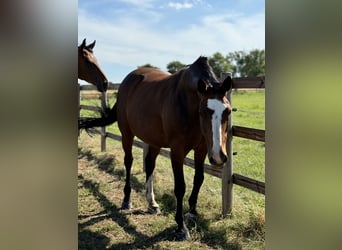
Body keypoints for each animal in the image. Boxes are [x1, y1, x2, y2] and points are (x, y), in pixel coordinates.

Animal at [78, 56, 232, 240]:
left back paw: (152, 203)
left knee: (150, 164)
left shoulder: (201, 149)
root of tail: (127, 81)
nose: (219, 157)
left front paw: (193, 213)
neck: (186, 101)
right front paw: (181, 227)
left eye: (228, 111)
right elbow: (180, 186)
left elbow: (199, 179)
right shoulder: (177, 151)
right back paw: (126, 200)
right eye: (203, 111)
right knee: (128, 161)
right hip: (127, 134)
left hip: (154, 141)